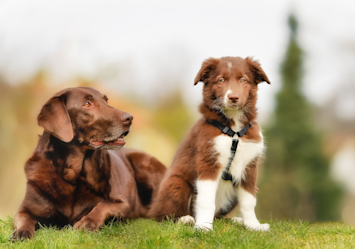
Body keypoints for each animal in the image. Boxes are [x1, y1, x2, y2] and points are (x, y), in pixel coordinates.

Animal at [10, 87, 167, 241]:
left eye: (106, 101)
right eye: (87, 104)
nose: (130, 117)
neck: (74, 175)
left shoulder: (124, 204)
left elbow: (103, 205)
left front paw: (88, 222)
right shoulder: (25, 209)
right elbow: (24, 219)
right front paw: (21, 233)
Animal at [149, 56, 272, 231]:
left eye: (243, 80)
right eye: (221, 80)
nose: (233, 97)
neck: (234, 130)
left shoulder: (249, 166)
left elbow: (249, 201)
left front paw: (254, 226)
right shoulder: (208, 160)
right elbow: (206, 200)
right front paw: (204, 227)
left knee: (220, 216)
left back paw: (237, 221)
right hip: (176, 184)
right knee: (161, 217)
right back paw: (185, 219)